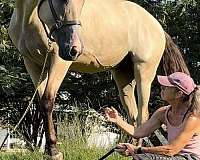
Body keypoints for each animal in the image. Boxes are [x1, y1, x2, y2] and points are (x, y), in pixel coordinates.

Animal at [8, 0, 189, 159]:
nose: (74, 48)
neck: (28, 18)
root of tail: (157, 27)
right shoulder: (32, 64)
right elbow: (40, 102)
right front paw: (48, 151)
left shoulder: (59, 60)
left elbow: (47, 101)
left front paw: (53, 151)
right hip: (123, 76)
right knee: (133, 115)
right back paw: (124, 149)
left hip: (143, 73)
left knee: (142, 114)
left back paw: (134, 149)